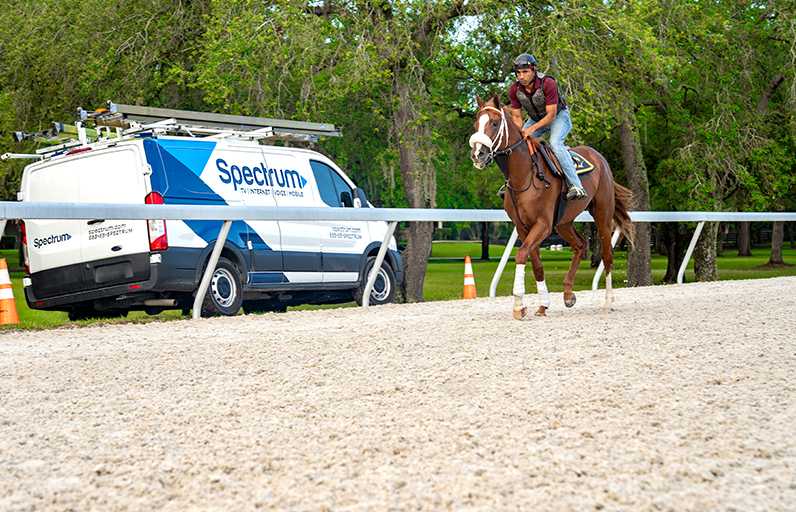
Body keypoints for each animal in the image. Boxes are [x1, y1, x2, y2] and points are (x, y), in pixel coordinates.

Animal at [469, 95, 634, 320]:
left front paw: (518, 305)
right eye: (476, 123)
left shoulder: (543, 224)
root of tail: (599, 158)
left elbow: (521, 254)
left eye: (494, 123)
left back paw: (608, 302)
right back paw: (568, 294)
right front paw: (542, 305)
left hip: (602, 214)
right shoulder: (523, 226)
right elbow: (536, 265)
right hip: (564, 222)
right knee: (580, 245)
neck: (525, 176)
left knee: (607, 255)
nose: (478, 154)